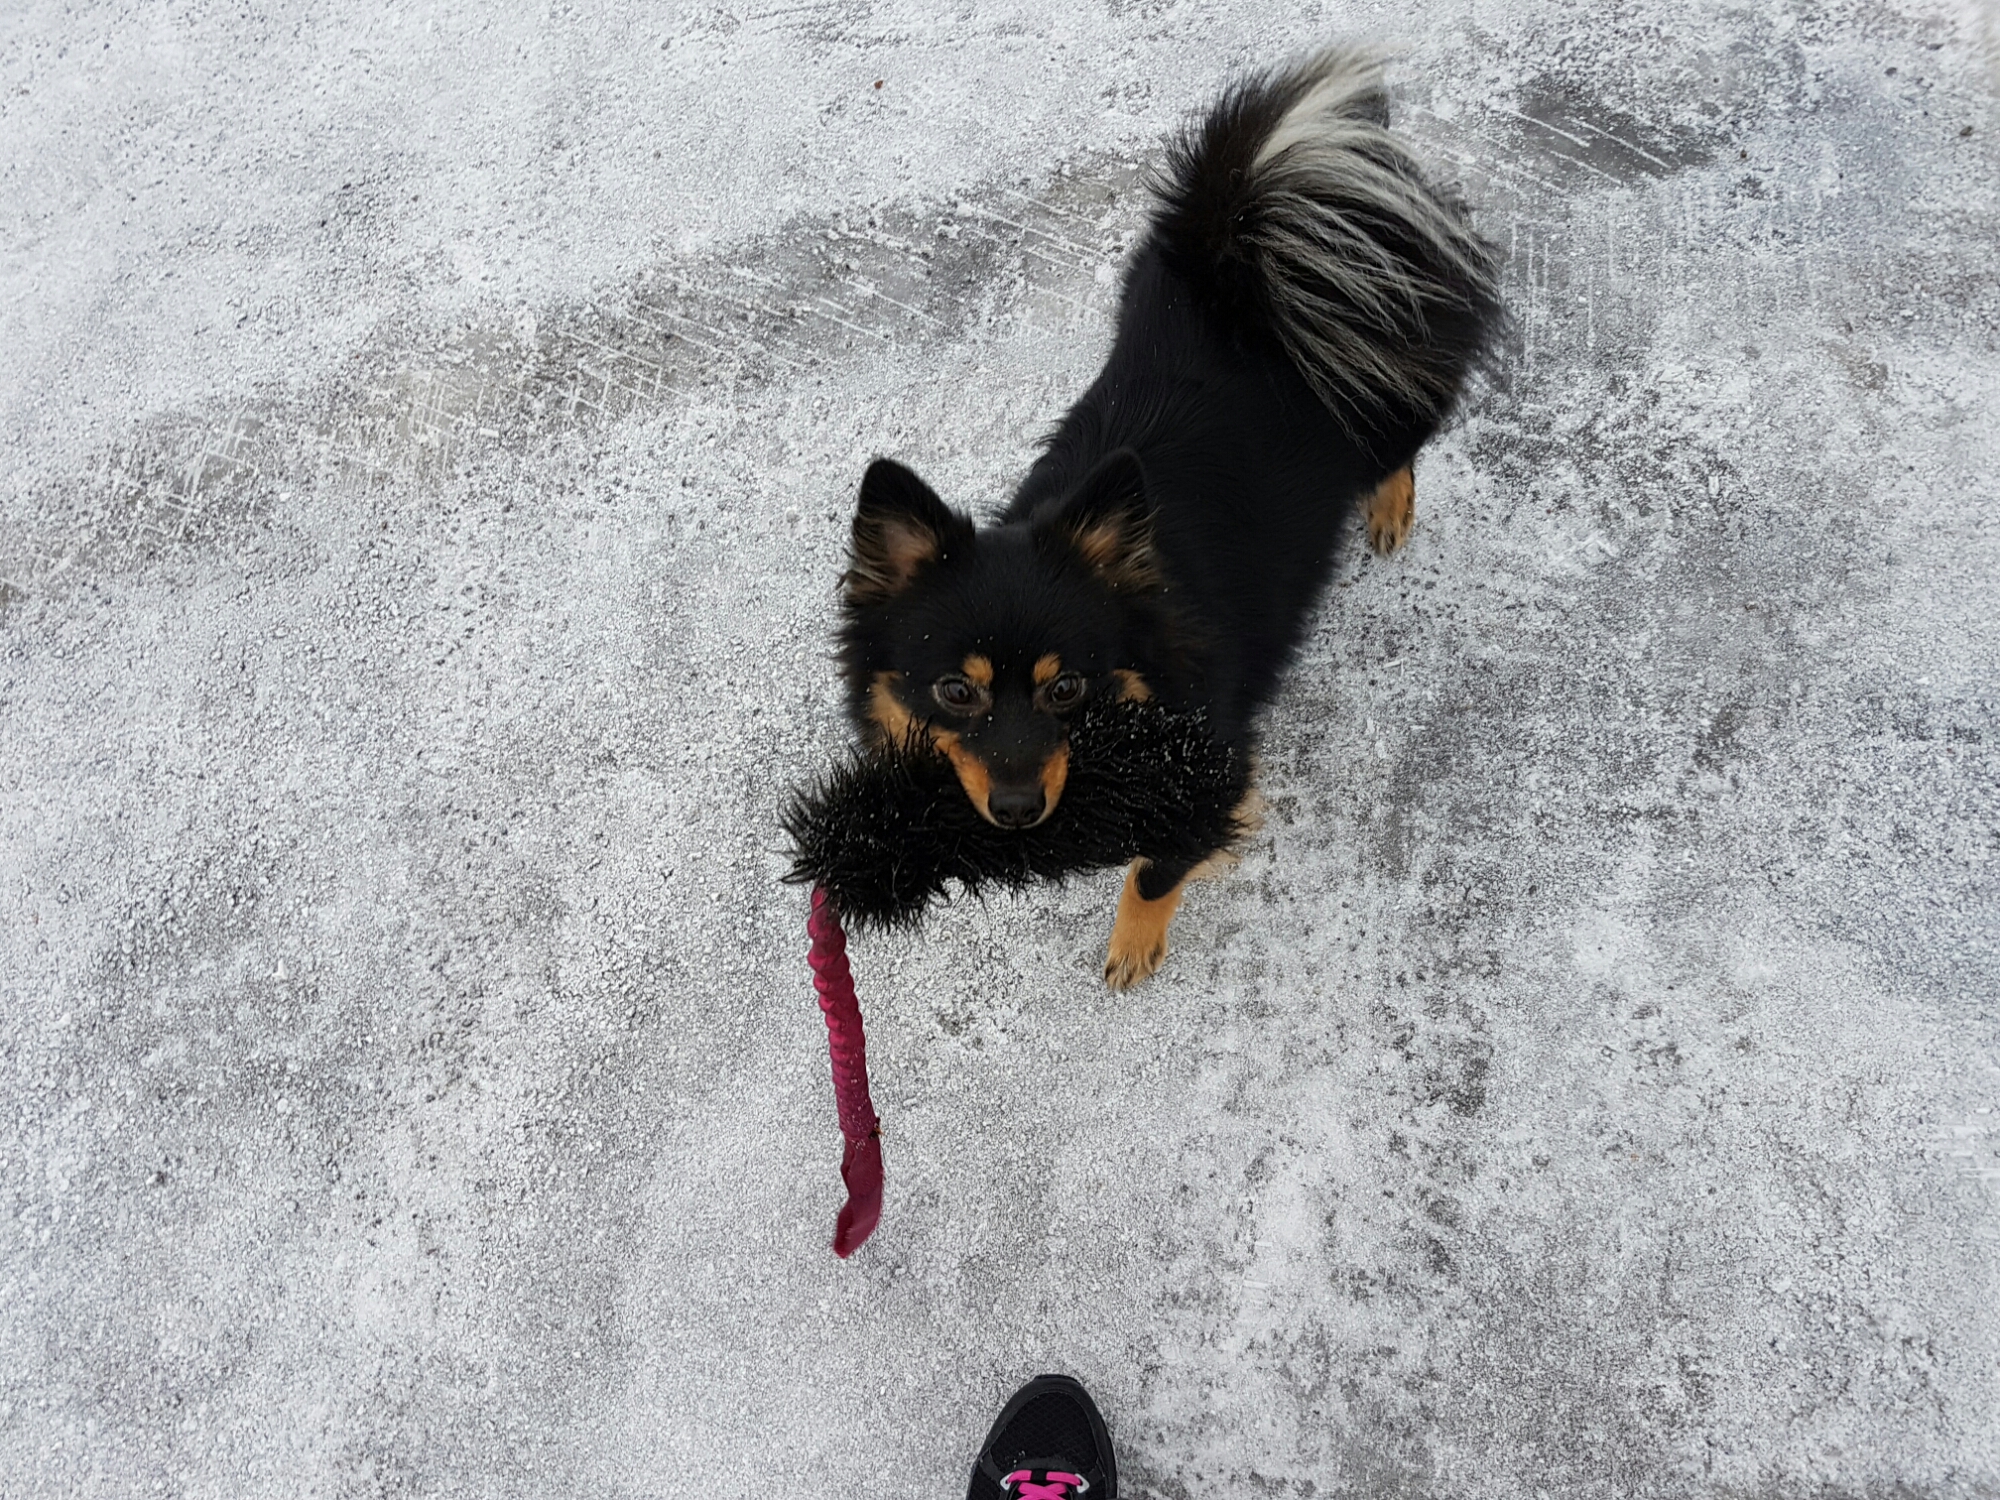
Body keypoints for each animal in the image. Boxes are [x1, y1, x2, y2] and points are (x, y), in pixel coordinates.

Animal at [835, 49, 1503, 987]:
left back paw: (1389, 509)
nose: (1017, 809)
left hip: (1381, 393)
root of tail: (1243, 247)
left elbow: (1157, 867)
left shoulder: (1212, 758)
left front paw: (1133, 945)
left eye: (1067, 686)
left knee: (1402, 437)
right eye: (955, 690)